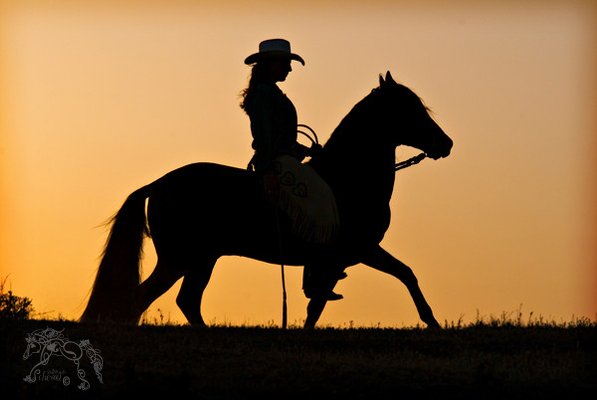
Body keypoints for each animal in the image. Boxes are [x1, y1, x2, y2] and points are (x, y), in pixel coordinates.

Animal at [79, 72, 452, 328]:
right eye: (410, 109)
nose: (445, 143)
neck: (347, 180)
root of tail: (158, 183)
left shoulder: (341, 258)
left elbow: (321, 302)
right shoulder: (357, 249)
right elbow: (404, 274)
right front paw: (433, 322)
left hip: (202, 259)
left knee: (186, 300)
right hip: (179, 259)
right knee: (149, 298)